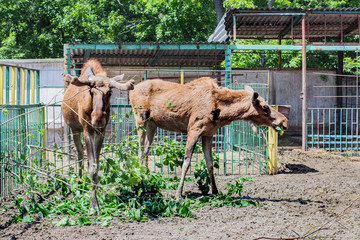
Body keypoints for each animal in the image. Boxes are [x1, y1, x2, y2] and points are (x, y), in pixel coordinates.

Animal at [62, 59, 135, 211]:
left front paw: (96, 196)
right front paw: (94, 204)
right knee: (79, 153)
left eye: (110, 92)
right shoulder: (87, 130)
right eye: (91, 91)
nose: (98, 118)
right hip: (74, 129)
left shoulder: (101, 132)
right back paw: (79, 183)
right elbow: (92, 168)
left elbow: (96, 164)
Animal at [131, 77, 288, 201]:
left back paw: (147, 179)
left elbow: (210, 164)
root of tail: (132, 90)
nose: (284, 121)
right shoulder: (193, 130)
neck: (221, 113)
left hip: (152, 124)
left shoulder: (208, 134)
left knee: (145, 152)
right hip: (140, 120)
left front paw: (215, 191)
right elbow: (186, 163)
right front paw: (178, 193)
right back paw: (141, 181)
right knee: (139, 152)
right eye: (265, 106)